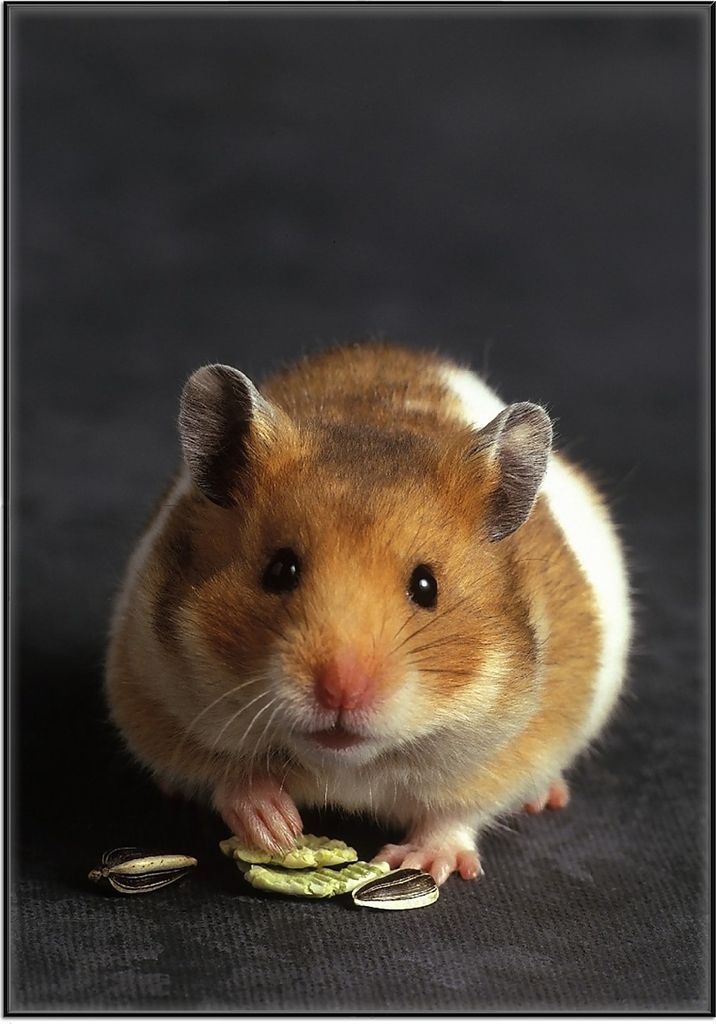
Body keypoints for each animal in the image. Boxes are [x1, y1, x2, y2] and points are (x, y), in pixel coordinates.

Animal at [106, 342, 631, 885]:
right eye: (280, 569)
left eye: (426, 586)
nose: (341, 691)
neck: (346, 763)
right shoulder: (151, 691)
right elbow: (225, 774)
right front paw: (276, 828)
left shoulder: (513, 749)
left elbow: (456, 813)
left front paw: (418, 863)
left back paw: (546, 797)